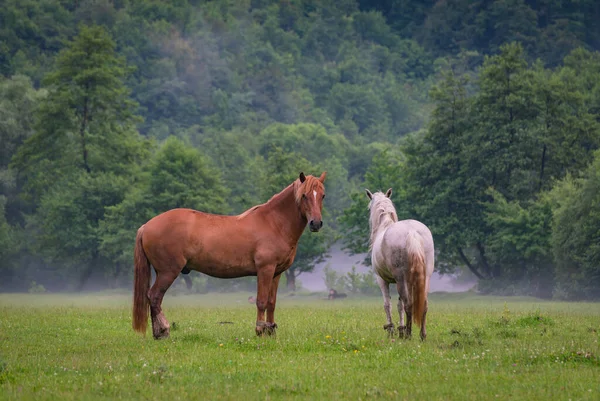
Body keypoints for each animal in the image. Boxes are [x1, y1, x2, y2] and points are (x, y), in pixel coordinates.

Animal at [133, 171, 326, 338]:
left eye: (322, 196)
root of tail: (147, 226)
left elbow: (271, 303)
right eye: (304, 195)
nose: (316, 223)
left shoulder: (276, 273)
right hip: (168, 272)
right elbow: (261, 301)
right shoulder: (265, 270)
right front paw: (260, 330)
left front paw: (271, 330)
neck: (274, 223)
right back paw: (163, 331)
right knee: (154, 297)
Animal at [364, 189, 434, 340]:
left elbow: (388, 304)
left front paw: (391, 330)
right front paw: (400, 329)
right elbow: (399, 305)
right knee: (423, 304)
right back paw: (422, 335)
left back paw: (408, 335)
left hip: (401, 279)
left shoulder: (382, 280)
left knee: (408, 305)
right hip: (425, 276)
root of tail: (412, 232)